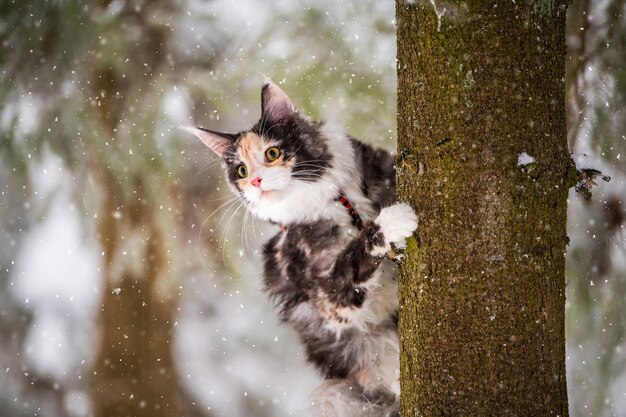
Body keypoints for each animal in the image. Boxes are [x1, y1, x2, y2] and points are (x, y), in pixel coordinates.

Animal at [185, 81, 420, 416]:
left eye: (272, 153)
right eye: (241, 171)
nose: (256, 181)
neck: (339, 204)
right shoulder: (328, 298)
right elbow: (353, 257)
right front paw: (391, 222)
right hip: (335, 390)